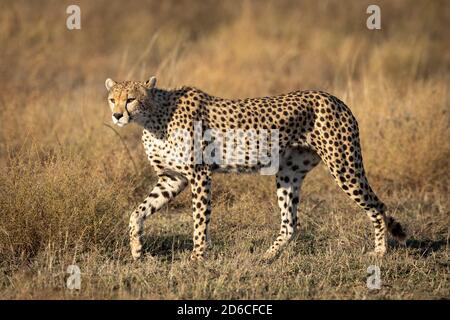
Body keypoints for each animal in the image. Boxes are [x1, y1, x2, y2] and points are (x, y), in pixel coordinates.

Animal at [103, 76, 406, 262]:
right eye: (112, 99)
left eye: (130, 99)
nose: (117, 115)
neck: (153, 117)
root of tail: (336, 99)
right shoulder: (172, 178)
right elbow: (137, 213)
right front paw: (137, 251)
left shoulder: (199, 175)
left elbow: (199, 220)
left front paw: (197, 257)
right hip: (289, 172)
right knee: (290, 223)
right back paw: (266, 257)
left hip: (343, 165)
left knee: (377, 205)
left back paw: (380, 253)